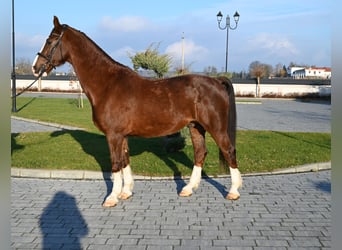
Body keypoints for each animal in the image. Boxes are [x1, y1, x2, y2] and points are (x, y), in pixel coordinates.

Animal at [31, 17, 240, 207]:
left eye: (50, 41)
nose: (35, 67)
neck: (108, 84)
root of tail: (216, 81)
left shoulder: (113, 135)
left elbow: (116, 163)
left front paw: (112, 197)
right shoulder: (122, 136)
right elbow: (125, 161)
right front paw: (126, 192)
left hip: (216, 128)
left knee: (228, 150)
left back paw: (233, 191)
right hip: (196, 126)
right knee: (200, 153)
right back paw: (188, 189)